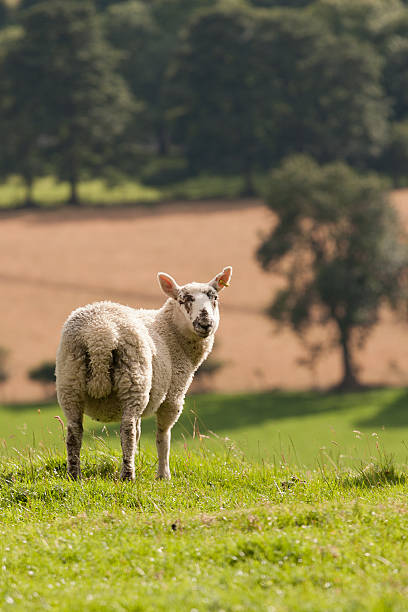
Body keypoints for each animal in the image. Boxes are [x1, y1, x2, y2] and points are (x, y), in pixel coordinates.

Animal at [55, 266, 233, 480]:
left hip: (70, 380)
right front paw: (163, 475)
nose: (205, 323)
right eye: (183, 299)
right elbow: (163, 436)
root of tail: (100, 335)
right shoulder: (173, 397)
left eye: (214, 297)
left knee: (74, 431)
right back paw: (127, 476)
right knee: (128, 429)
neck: (170, 330)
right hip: (134, 378)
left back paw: (75, 474)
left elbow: (141, 431)